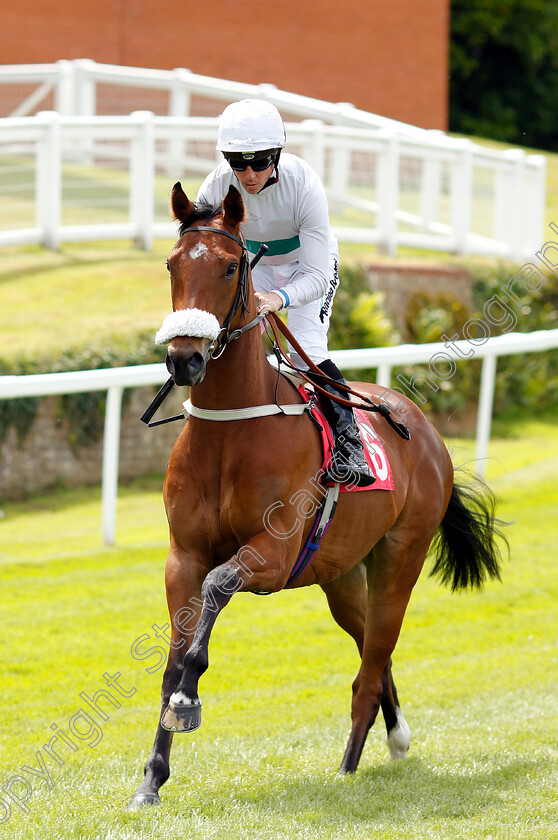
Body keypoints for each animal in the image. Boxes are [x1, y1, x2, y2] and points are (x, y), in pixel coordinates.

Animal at [130, 184, 504, 808]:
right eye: (171, 264)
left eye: (230, 266)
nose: (185, 357)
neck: (230, 430)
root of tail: (426, 431)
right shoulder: (182, 556)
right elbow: (173, 655)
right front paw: (151, 780)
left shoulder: (273, 554)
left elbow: (217, 587)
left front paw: (188, 699)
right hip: (342, 576)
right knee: (374, 654)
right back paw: (396, 736)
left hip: (399, 560)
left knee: (371, 667)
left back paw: (349, 767)